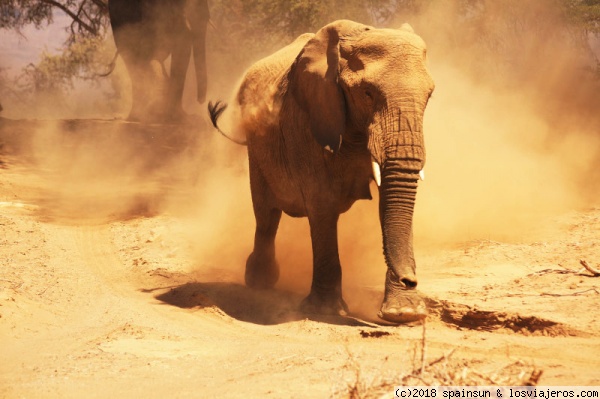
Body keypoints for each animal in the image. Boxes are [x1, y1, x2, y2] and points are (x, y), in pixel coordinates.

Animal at [209, 19, 434, 324]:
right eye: (367, 93)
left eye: (429, 95)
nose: (410, 279)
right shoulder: (307, 118)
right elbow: (322, 201)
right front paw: (325, 310)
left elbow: (390, 203)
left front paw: (404, 313)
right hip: (256, 146)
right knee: (266, 213)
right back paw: (260, 282)